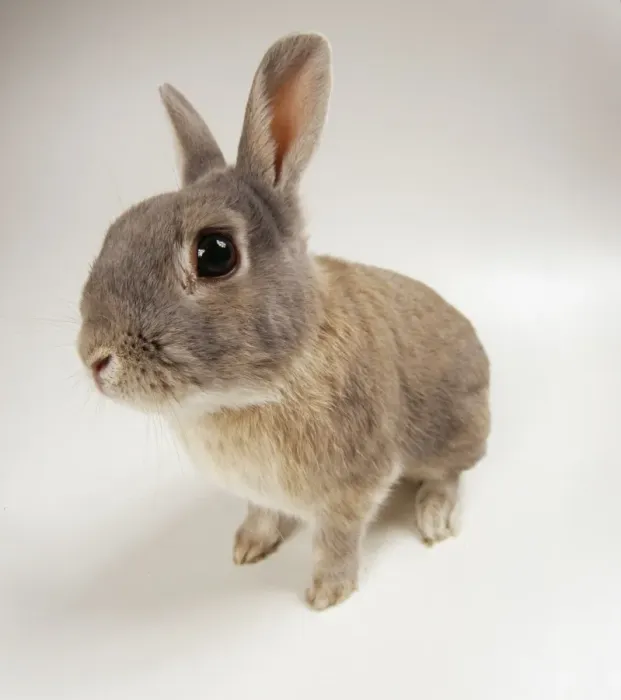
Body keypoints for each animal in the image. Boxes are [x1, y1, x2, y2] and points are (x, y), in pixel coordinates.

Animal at [77, 32, 490, 610]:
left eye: (215, 253)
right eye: (117, 229)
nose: (92, 357)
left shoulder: (352, 487)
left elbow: (338, 539)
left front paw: (327, 593)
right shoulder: (259, 491)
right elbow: (261, 511)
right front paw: (248, 547)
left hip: (450, 435)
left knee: (451, 474)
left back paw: (433, 518)